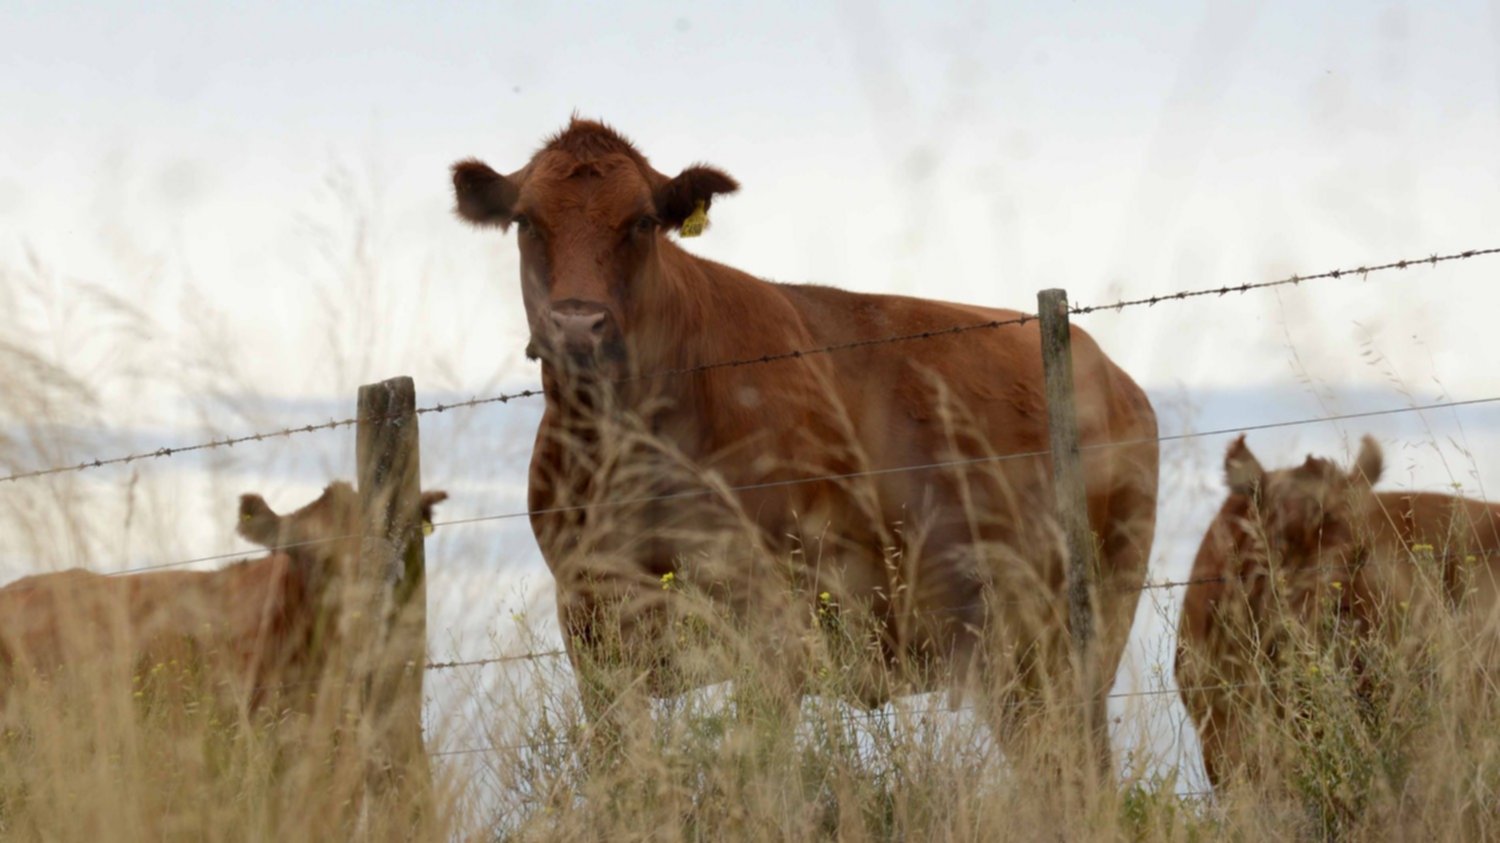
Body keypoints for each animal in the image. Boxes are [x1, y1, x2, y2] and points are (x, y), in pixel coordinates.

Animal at [450, 118, 1152, 768]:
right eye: (526, 221)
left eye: (644, 222)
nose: (577, 326)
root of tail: (1115, 377)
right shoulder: (590, 625)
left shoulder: (774, 620)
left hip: (1086, 631)